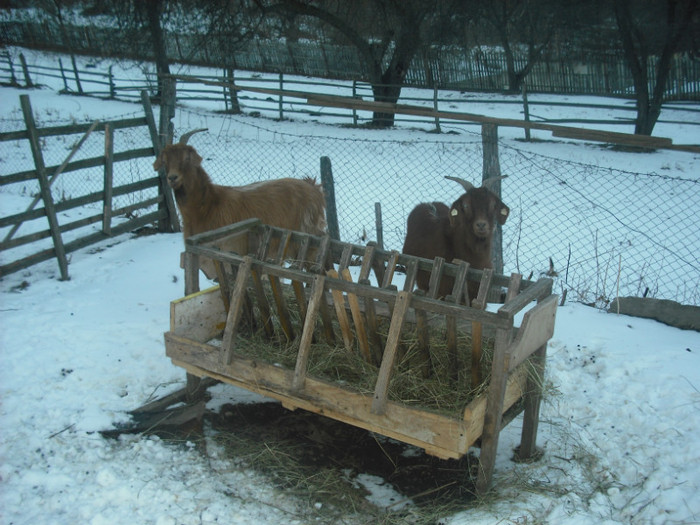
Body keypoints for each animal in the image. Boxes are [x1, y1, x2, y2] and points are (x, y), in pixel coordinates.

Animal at [154, 128, 328, 278]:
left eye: (187, 158)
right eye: (165, 160)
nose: (173, 178)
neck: (208, 206)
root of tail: (314, 187)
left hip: (310, 244)